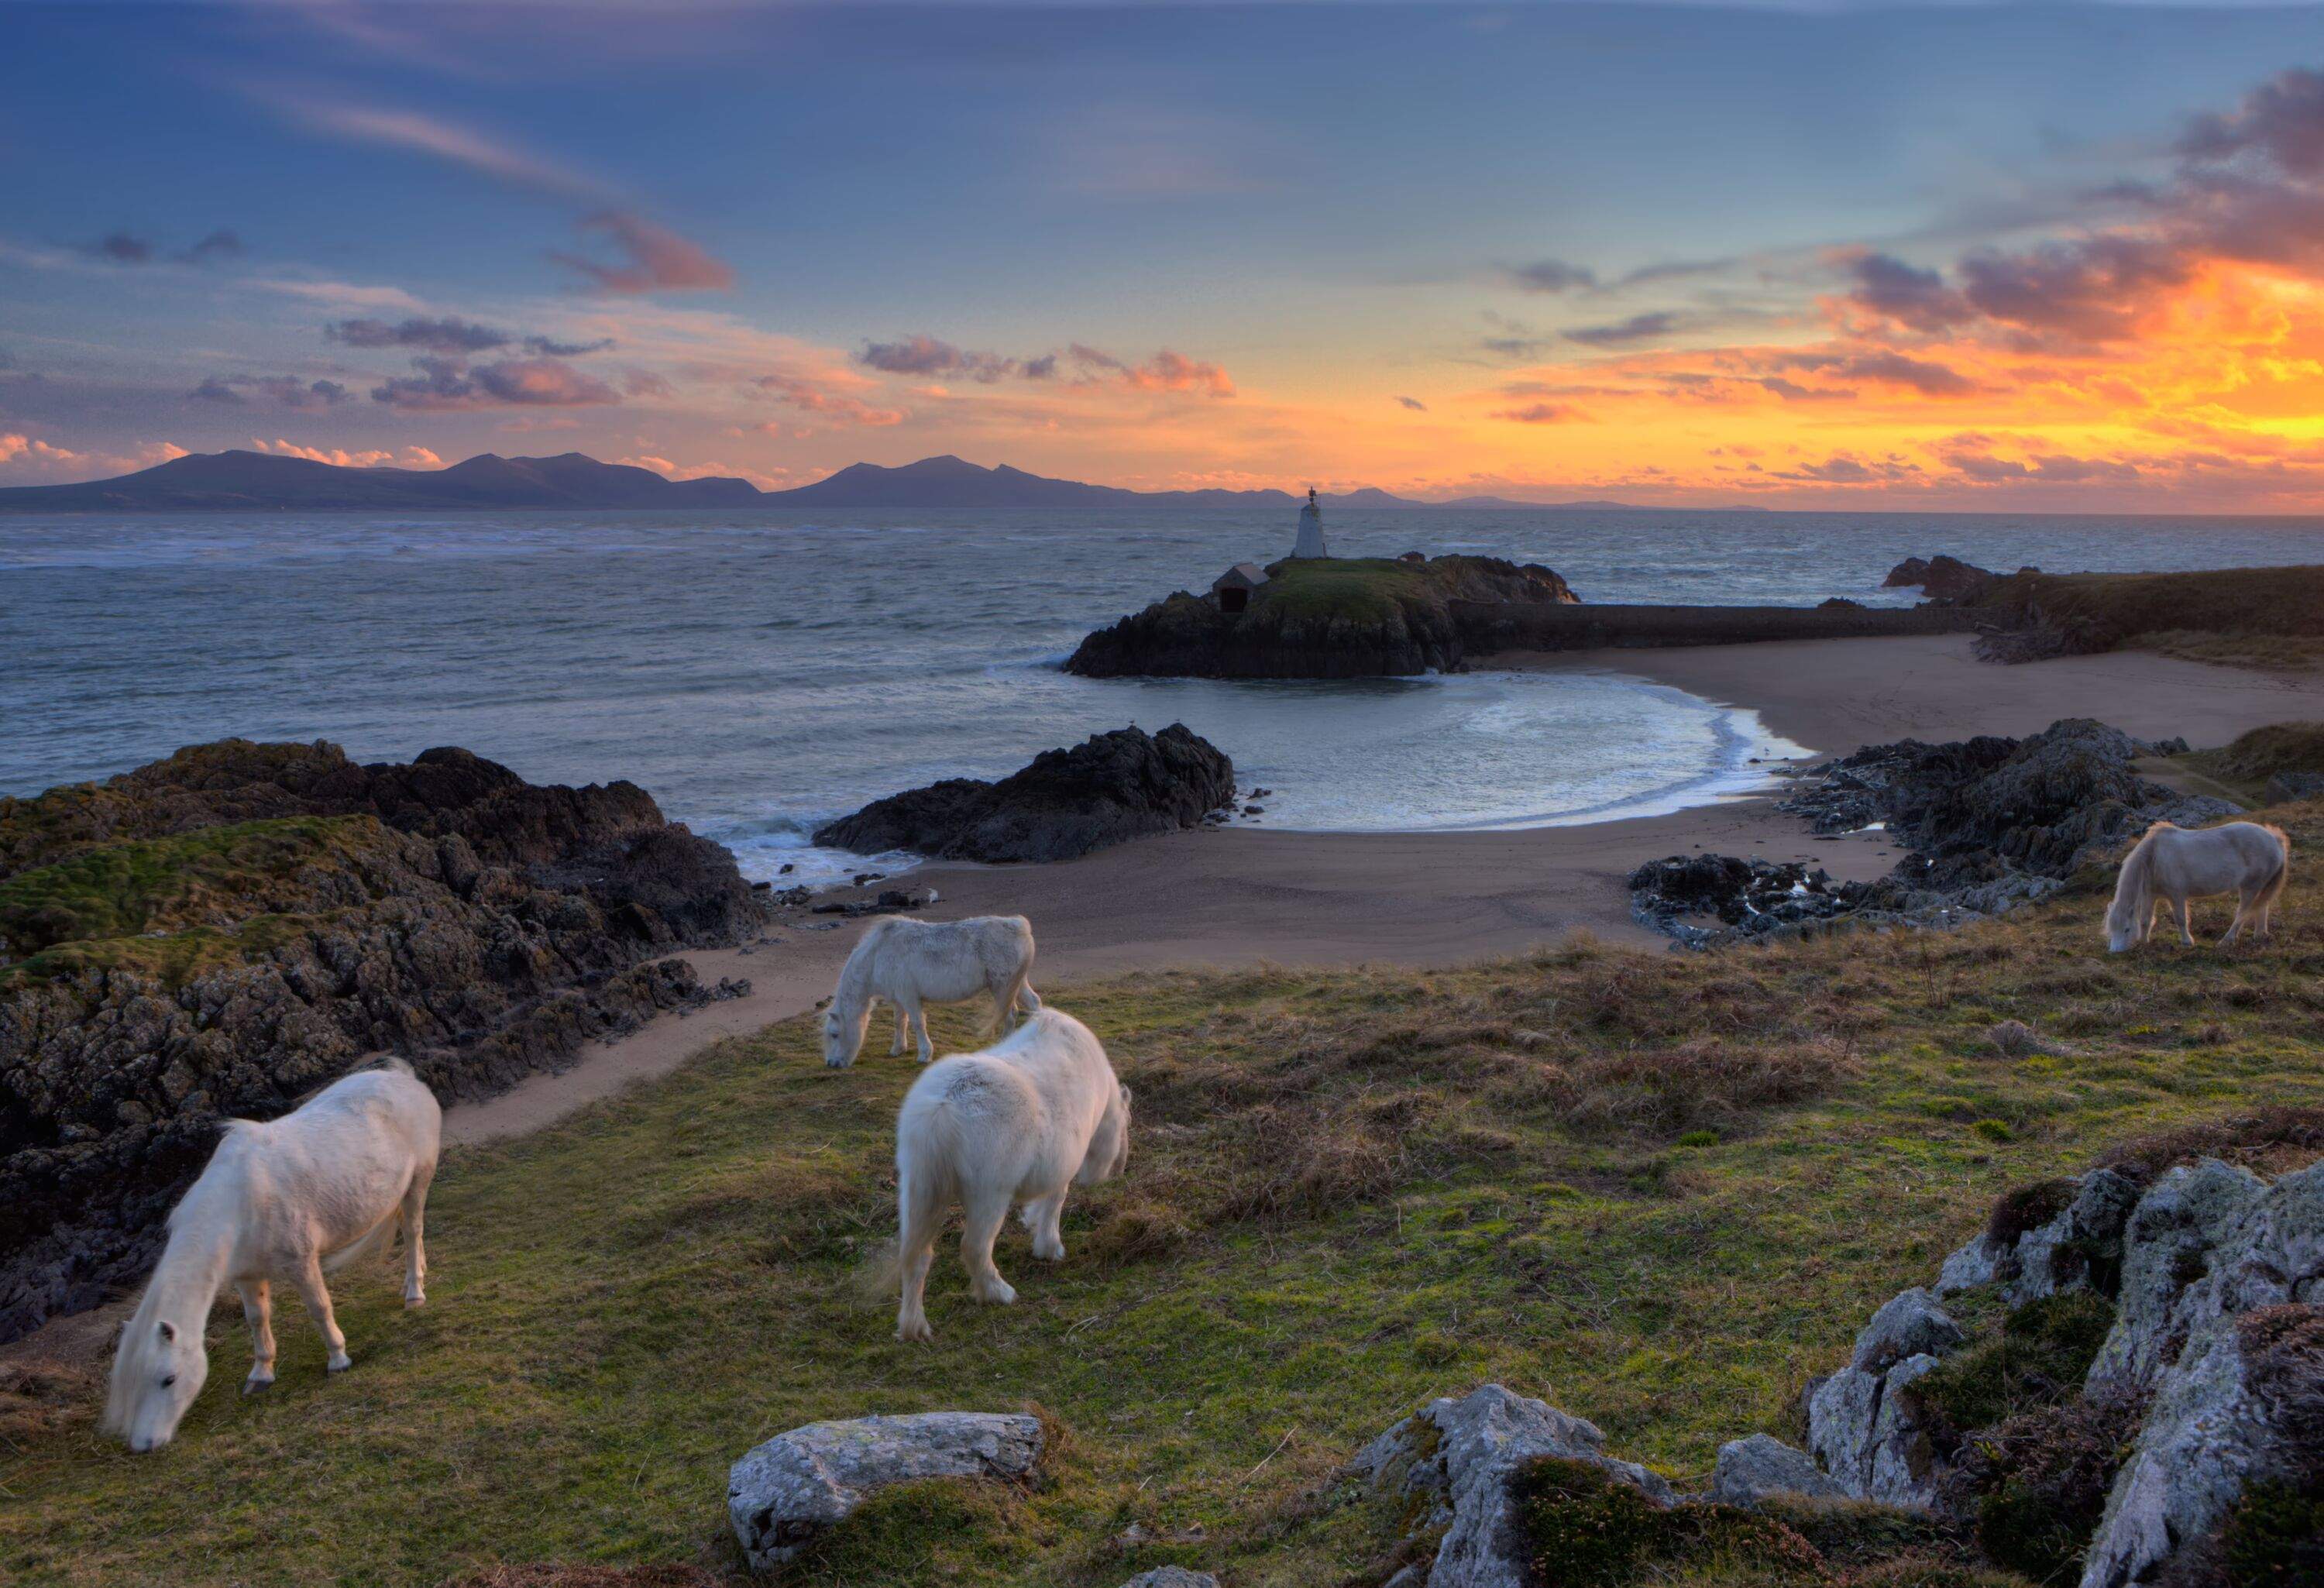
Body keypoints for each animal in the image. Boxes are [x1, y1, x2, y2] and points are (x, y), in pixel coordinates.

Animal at [105, 1055, 442, 1450]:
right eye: (133, 1385)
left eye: (169, 1379)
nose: (144, 1445)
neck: (240, 1203)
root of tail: (405, 1078)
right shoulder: (248, 1277)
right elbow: (257, 1320)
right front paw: (262, 1374)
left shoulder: (302, 1262)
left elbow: (319, 1309)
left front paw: (338, 1359)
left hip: (418, 1182)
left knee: (414, 1230)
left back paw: (414, 1292)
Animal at [818, 911, 1037, 1074]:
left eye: (835, 1034)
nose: (832, 1064)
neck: (877, 955)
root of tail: (1019, 926)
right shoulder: (898, 1000)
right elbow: (899, 1022)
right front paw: (898, 1049)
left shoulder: (910, 997)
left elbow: (917, 1023)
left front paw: (924, 1054)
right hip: (1017, 984)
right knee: (1034, 1004)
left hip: (1002, 987)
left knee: (1010, 1015)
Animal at [888, 1004, 1134, 1339]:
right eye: (1126, 1127)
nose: (1119, 1172)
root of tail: (942, 1110)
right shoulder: (1063, 1163)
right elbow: (1055, 1201)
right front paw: (1050, 1247)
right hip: (989, 1195)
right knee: (975, 1248)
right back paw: (998, 1292)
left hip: (917, 1187)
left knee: (917, 1255)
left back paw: (914, 1326)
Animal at [2110, 818, 2287, 957]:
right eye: (2111, 929)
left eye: (2126, 929)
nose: (2115, 952)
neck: (2154, 856)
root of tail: (2275, 839)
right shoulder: (2150, 895)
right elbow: (2145, 920)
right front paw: (2144, 942)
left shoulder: (2177, 895)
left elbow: (2180, 919)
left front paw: (2187, 942)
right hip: (2261, 886)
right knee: (2261, 908)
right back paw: (2260, 936)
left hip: (2250, 887)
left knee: (2243, 913)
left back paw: (2226, 941)